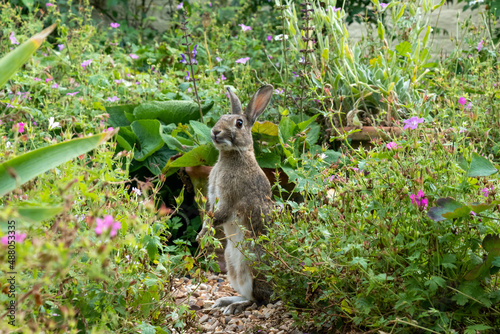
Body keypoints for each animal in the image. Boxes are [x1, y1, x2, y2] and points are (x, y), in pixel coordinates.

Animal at [197, 85, 274, 314]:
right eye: (221, 117)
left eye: (239, 123)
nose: (215, 131)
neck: (232, 155)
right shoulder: (212, 196)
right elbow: (208, 214)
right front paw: (201, 236)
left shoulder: (228, 200)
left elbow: (217, 217)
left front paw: (201, 236)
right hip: (230, 264)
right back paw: (224, 302)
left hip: (250, 264)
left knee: (259, 300)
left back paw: (234, 307)